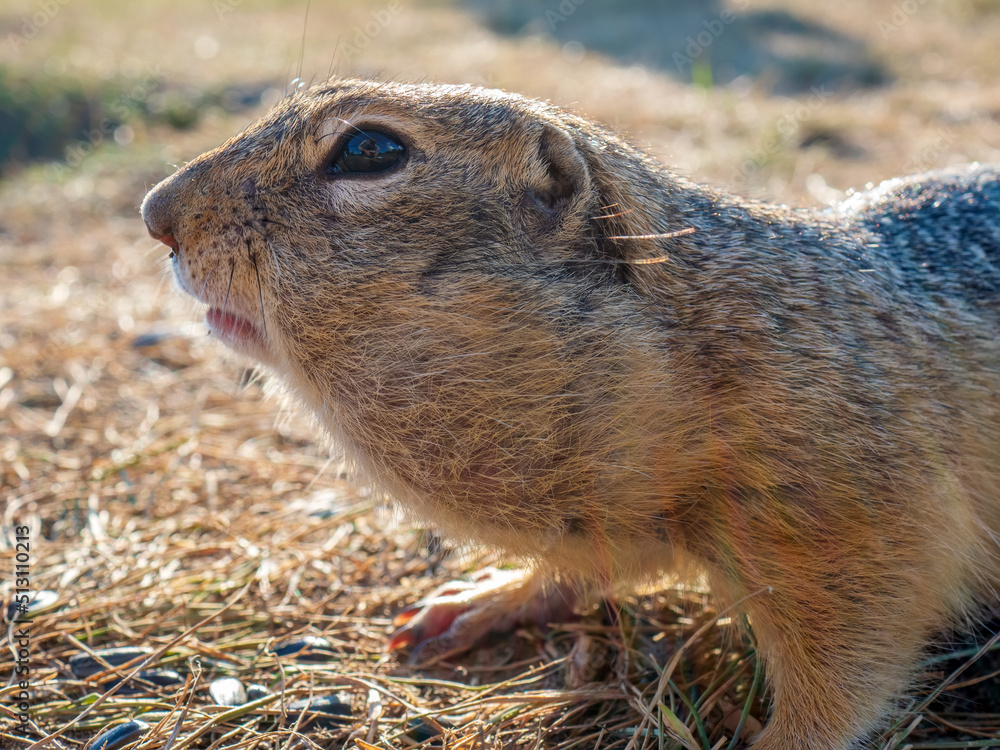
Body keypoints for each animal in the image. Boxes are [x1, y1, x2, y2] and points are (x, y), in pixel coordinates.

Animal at [141, 79, 1000, 748]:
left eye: (369, 150)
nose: (155, 212)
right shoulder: (617, 510)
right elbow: (589, 564)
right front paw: (484, 601)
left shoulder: (859, 523)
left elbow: (848, 670)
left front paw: (779, 742)